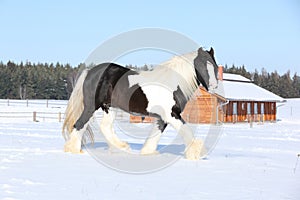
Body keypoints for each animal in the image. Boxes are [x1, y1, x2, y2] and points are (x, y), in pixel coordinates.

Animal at [62, 46, 219, 159]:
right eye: (202, 65)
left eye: (215, 66)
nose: (213, 86)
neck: (173, 83)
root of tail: (90, 71)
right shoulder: (172, 115)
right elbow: (187, 131)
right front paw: (197, 153)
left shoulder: (163, 118)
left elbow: (155, 134)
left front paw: (148, 153)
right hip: (91, 106)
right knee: (79, 124)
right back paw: (73, 150)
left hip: (109, 107)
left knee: (105, 127)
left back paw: (122, 147)